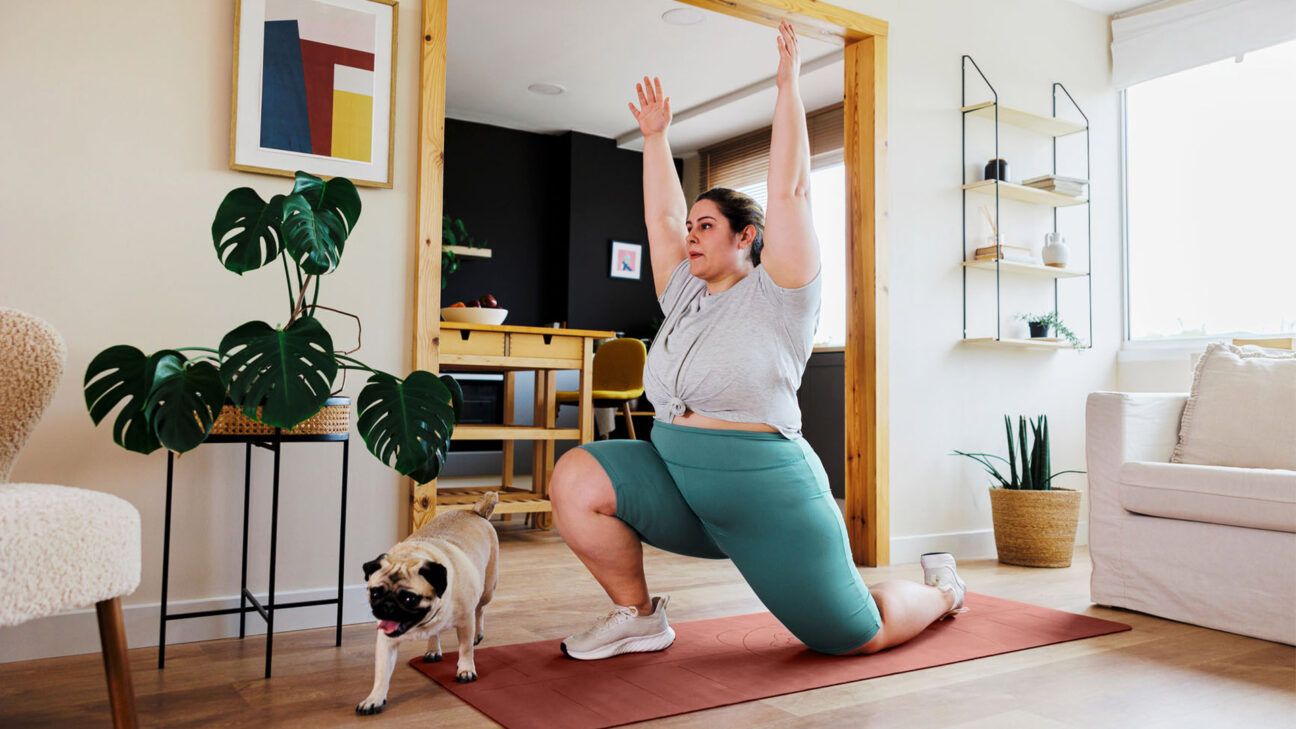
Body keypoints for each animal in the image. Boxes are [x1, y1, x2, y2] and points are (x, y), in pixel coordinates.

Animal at [357, 490, 497, 710]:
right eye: (375, 593)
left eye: (409, 598)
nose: (387, 606)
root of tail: (475, 511)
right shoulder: (386, 642)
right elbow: (381, 673)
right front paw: (374, 698)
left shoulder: (465, 622)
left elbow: (465, 649)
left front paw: (465, 669)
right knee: (436, 632)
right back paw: (433, 649)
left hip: (487, 589)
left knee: (480, 610)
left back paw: (478, 633)